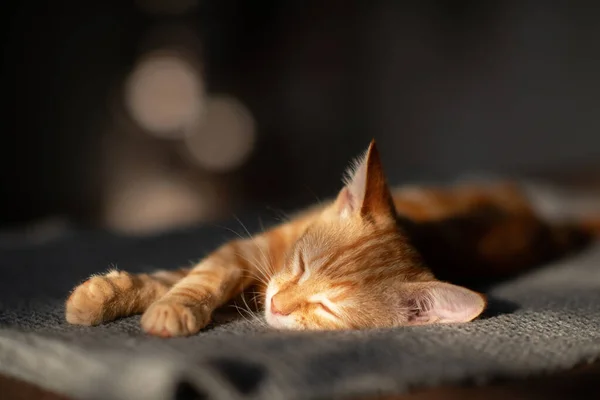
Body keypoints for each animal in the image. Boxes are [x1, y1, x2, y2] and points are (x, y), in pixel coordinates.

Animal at [65, 139, 600, 336]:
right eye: (301, 264)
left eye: (326, 307)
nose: (278, 304)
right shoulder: (246, 251)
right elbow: (189, 278)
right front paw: (106, 298)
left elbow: (191, 280)